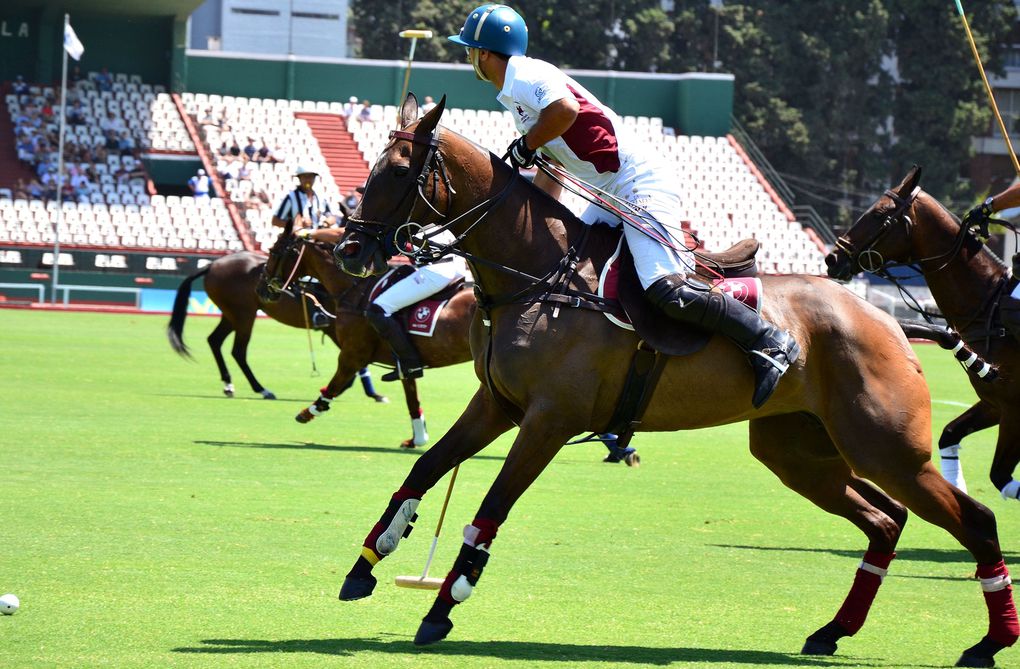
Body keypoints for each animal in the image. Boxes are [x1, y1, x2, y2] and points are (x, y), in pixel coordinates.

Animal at [167, 253, 389, 401]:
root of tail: (213, 264)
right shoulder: (337, 329)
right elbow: (357, 364)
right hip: (244, 315)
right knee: (238, 351)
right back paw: (261, 389)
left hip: (231, 315)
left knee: (214, 340)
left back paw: (229, 384)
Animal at [828, 166, 1020, 501]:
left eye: (879, 213)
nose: (833, 259)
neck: (991, 305)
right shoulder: (995, 404)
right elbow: (949, 435)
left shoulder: (1013, 408)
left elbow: (1001, 477)